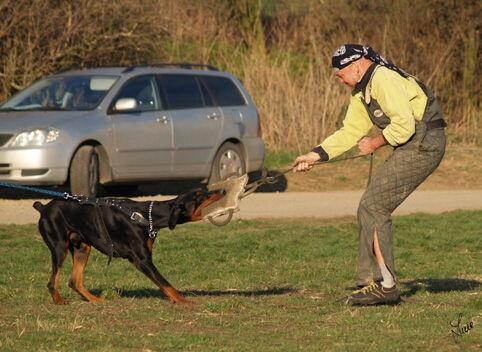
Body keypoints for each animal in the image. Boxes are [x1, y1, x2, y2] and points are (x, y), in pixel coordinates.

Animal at [33, 188, 225, 304]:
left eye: (206, 191)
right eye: (200, 196)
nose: (222, 190)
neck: (147, 216)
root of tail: (43, 207)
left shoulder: (137, 258)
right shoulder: (142, 260)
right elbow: (166, 283)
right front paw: (182, 300)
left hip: (82, 248)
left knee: (74, 281)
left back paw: (95, 300)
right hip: (60, 246)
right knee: (52, 281)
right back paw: (59, 301)